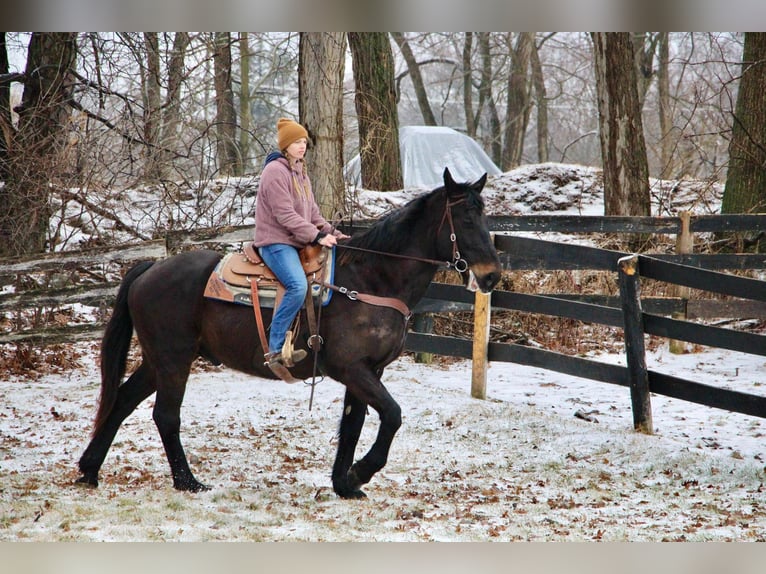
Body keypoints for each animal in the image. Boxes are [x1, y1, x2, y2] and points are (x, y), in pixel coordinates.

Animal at [78, 168, 504, 500]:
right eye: (466, 220)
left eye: (486, 218)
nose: (491, 277)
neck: (370, 280)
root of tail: (148, 270)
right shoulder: (352, 368)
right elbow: (393, 416)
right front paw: (360, 472)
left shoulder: (369, 371)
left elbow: (353, 425)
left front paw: (344, 484)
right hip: (173, 360)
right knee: (165, 415)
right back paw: (187, 481)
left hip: (159, 360)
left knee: (122, 401)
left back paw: (89, 469)